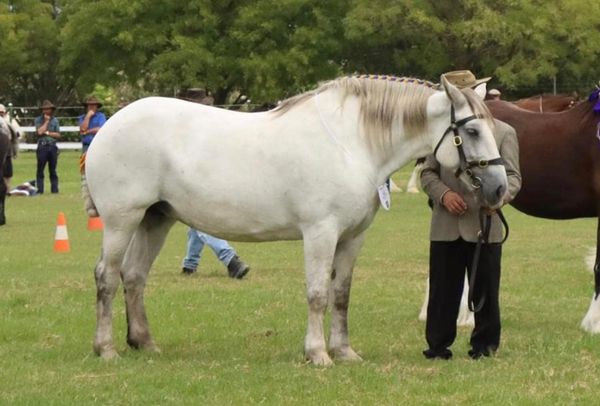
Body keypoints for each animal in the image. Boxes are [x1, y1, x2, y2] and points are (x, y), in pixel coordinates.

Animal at [83, 73, 506, 364]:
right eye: (471, 130)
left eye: (492, 127)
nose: (500, 188)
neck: (352, 143)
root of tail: (111, 125)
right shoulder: (320, 233)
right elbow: (317, 293)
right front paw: (317, 354)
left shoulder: (352, 238)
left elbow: (341, 295)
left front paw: (345, 352)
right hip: (122, 221)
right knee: (107, 277)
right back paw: (106, 349)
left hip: (155, 219)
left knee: (134, 277)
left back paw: (144, 343)